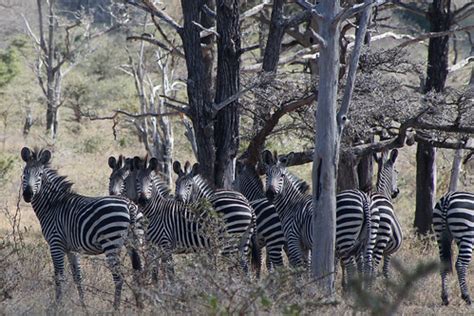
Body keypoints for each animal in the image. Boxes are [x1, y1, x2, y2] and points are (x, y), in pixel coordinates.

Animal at [20, 148, 142, 308]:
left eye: (40, 174)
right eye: (24, 173)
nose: (27, 195)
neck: (52, 205)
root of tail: (129, 205)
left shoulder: (55, 244)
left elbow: (59, 277)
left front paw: (57, 306)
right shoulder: (72, 249)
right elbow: (77, 276)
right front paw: (83, 306)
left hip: (111, 242)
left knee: (119, 278)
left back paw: (116, 308)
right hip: (135, 242)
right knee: (138, 272)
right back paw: (140, 305)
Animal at [260, 149, 378, 286]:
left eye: (282, 176)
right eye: (267, 174)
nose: (270, 194)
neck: (291, 205)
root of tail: (363, 197)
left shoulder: (293, 239)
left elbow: (299, 267)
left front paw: (299, 289)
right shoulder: (305, 245)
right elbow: (307, 268)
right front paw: (308, 287)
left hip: (346, 237)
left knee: (352, 268)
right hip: (370, 237)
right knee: (368, 267)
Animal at [370, 149, 404, 278]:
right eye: (396, 171)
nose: (396, 192)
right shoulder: (389, 252)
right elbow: (385, 270)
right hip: (380, 241)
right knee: (372, 268)